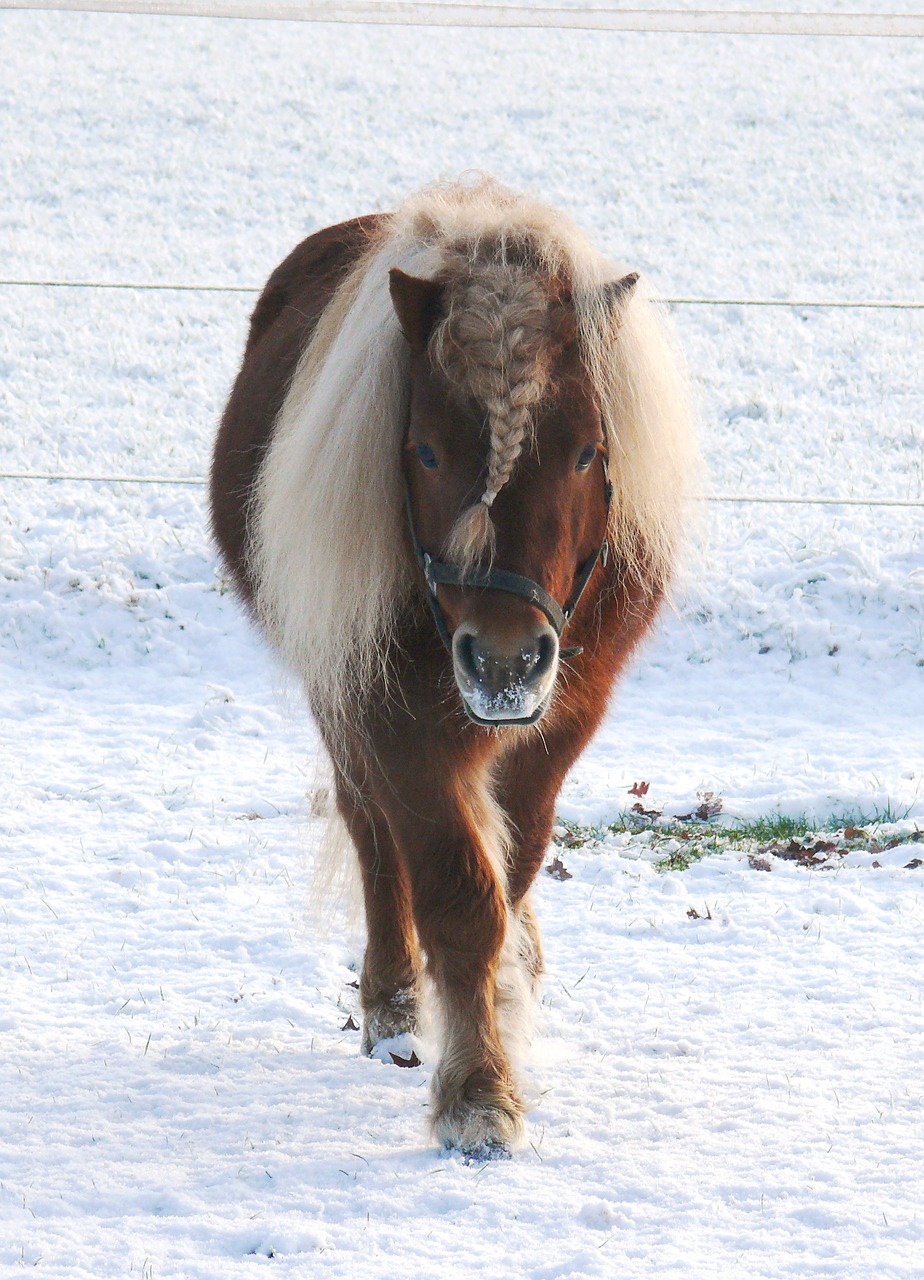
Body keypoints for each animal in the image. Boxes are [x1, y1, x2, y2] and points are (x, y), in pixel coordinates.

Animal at [211, 177, 696, 1162]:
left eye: (587, 451)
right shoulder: (386, 717)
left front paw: (504, 1011)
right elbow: (457, 894)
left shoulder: (561, 722)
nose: (505, 659)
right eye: (427, 451)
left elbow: (512, 872)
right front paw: (476, 1092)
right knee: (371, 833)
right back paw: (394, 1007)